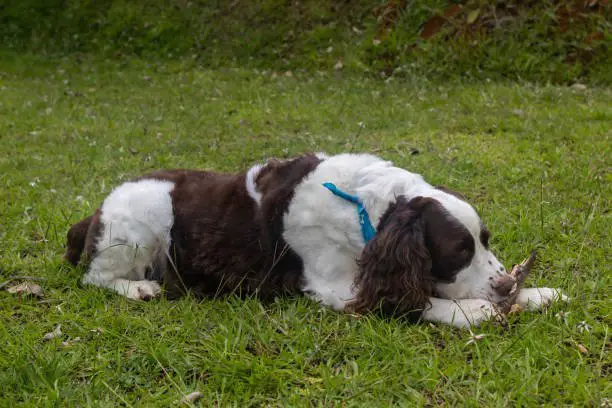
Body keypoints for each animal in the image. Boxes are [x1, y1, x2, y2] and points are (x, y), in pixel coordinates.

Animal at [64, 153, 568, 328]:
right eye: (459, 251)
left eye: (484, 240)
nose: (505, 286)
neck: (368, 210)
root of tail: (93, 213)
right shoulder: (336, 288)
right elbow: (405, 299)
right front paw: (472, 309)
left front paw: (537, 293)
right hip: (146, 215)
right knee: (94, 277)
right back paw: (138, 287)